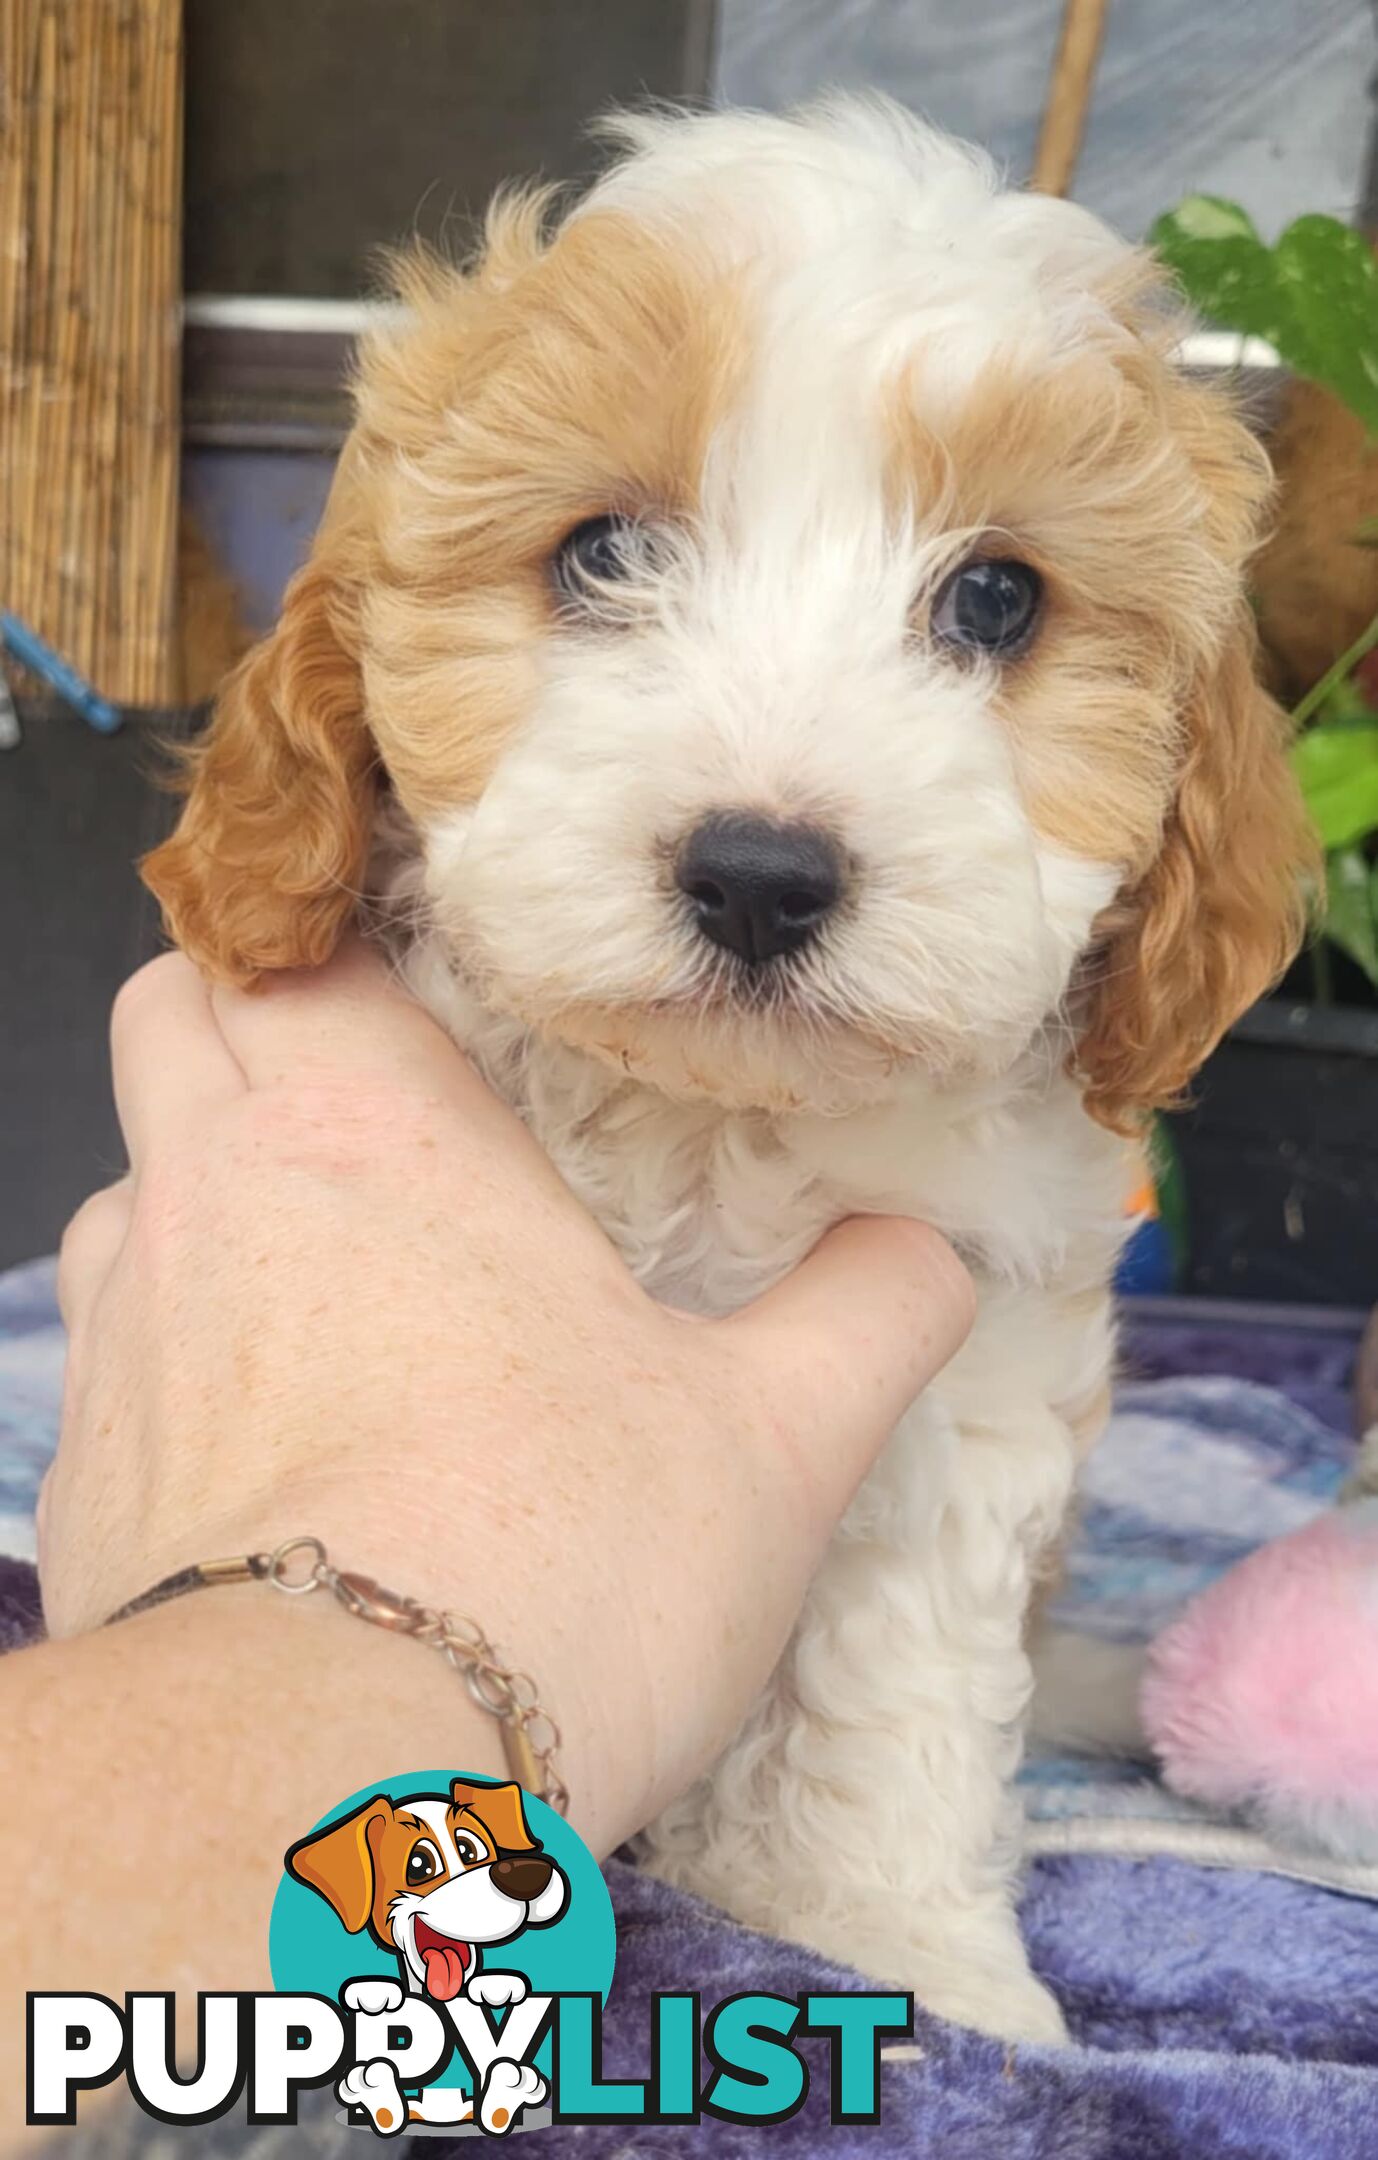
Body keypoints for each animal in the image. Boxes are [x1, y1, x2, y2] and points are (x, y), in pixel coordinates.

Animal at [149, 92, 1313, 2030]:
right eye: (603, 554)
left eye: (995, 601)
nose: (761, 874)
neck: (714, 1122)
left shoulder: (967, 1373)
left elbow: (887, 1680)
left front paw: (889, 1940)